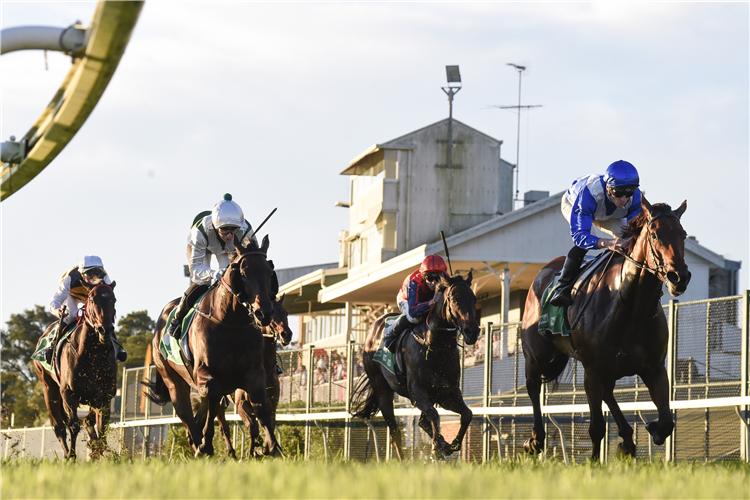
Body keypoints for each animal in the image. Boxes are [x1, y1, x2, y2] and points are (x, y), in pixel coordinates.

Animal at [33, 284, 119, 458]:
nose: (105, 330)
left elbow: (101, 428)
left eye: (113, 299)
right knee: (59, 426)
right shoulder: (69, 394)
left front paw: (96, 450)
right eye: (92, 299)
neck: (93, 357)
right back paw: (67, 454)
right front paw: (72, 456)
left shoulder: (103, 397)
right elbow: (73, 426)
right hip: (49, 389)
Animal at [144, 234, 282, 458]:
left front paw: (271, 446)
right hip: (173, 381)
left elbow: (261, 405)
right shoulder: (205, 373)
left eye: (270, 273)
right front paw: (207, 444)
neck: (232, 322)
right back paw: (199, 446)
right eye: (244, 273)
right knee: (188, 416)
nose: (264, 313)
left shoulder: (255, 374)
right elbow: (214, 396)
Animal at [194, 294, 296, 458]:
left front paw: (265, 448)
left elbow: (268, 425)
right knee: (224, 427)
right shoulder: (241, 404)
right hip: (220, 402)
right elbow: (252, 427)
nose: (286, 334)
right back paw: (231, 453)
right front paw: (253, 451)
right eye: (274, 315)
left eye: (286, 313)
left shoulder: (271, 404)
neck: (266, 367)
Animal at [352, 274, 482, 460]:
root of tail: (372, 329)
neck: (436, 347)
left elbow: (466, 414)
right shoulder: (416, 392)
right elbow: (434, 415)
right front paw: (437, 447)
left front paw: (449, 445)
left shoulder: (447, 393)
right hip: (382, 390)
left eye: (474, 298)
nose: (472, 332)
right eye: (455, 299)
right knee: (395, 432)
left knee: (422, 422)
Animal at [524, 196, 692, 460]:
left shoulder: (654, 368)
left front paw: (651, 428)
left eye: (683, 235)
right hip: (536, 353)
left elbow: (666, 423)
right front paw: (593, 462)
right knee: (532, 385)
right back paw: (536, 440)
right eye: (655, 234)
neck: (632, 307)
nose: (679, 277)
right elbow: (596, 428)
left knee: (608, 393)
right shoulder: (591, 370)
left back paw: (627, 439)